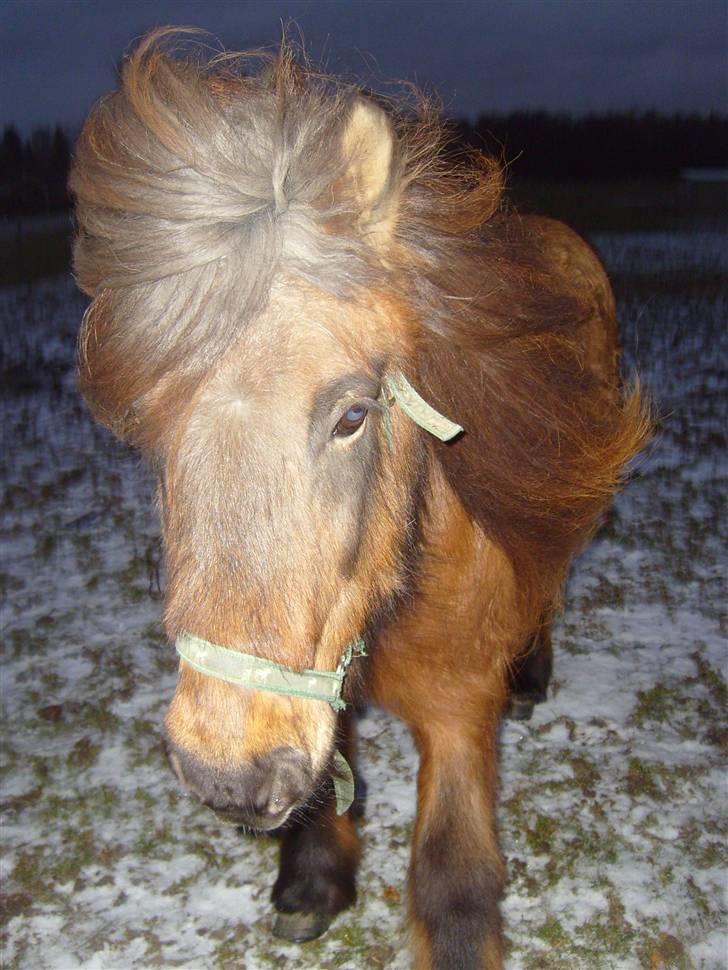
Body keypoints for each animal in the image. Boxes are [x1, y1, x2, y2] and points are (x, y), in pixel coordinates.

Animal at [68, 30, 648, 968]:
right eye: (151, 426)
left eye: (351, 416)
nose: (226, 773)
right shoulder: (320, 685)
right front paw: (312, 882)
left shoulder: (459, 716)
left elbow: (453, 881)